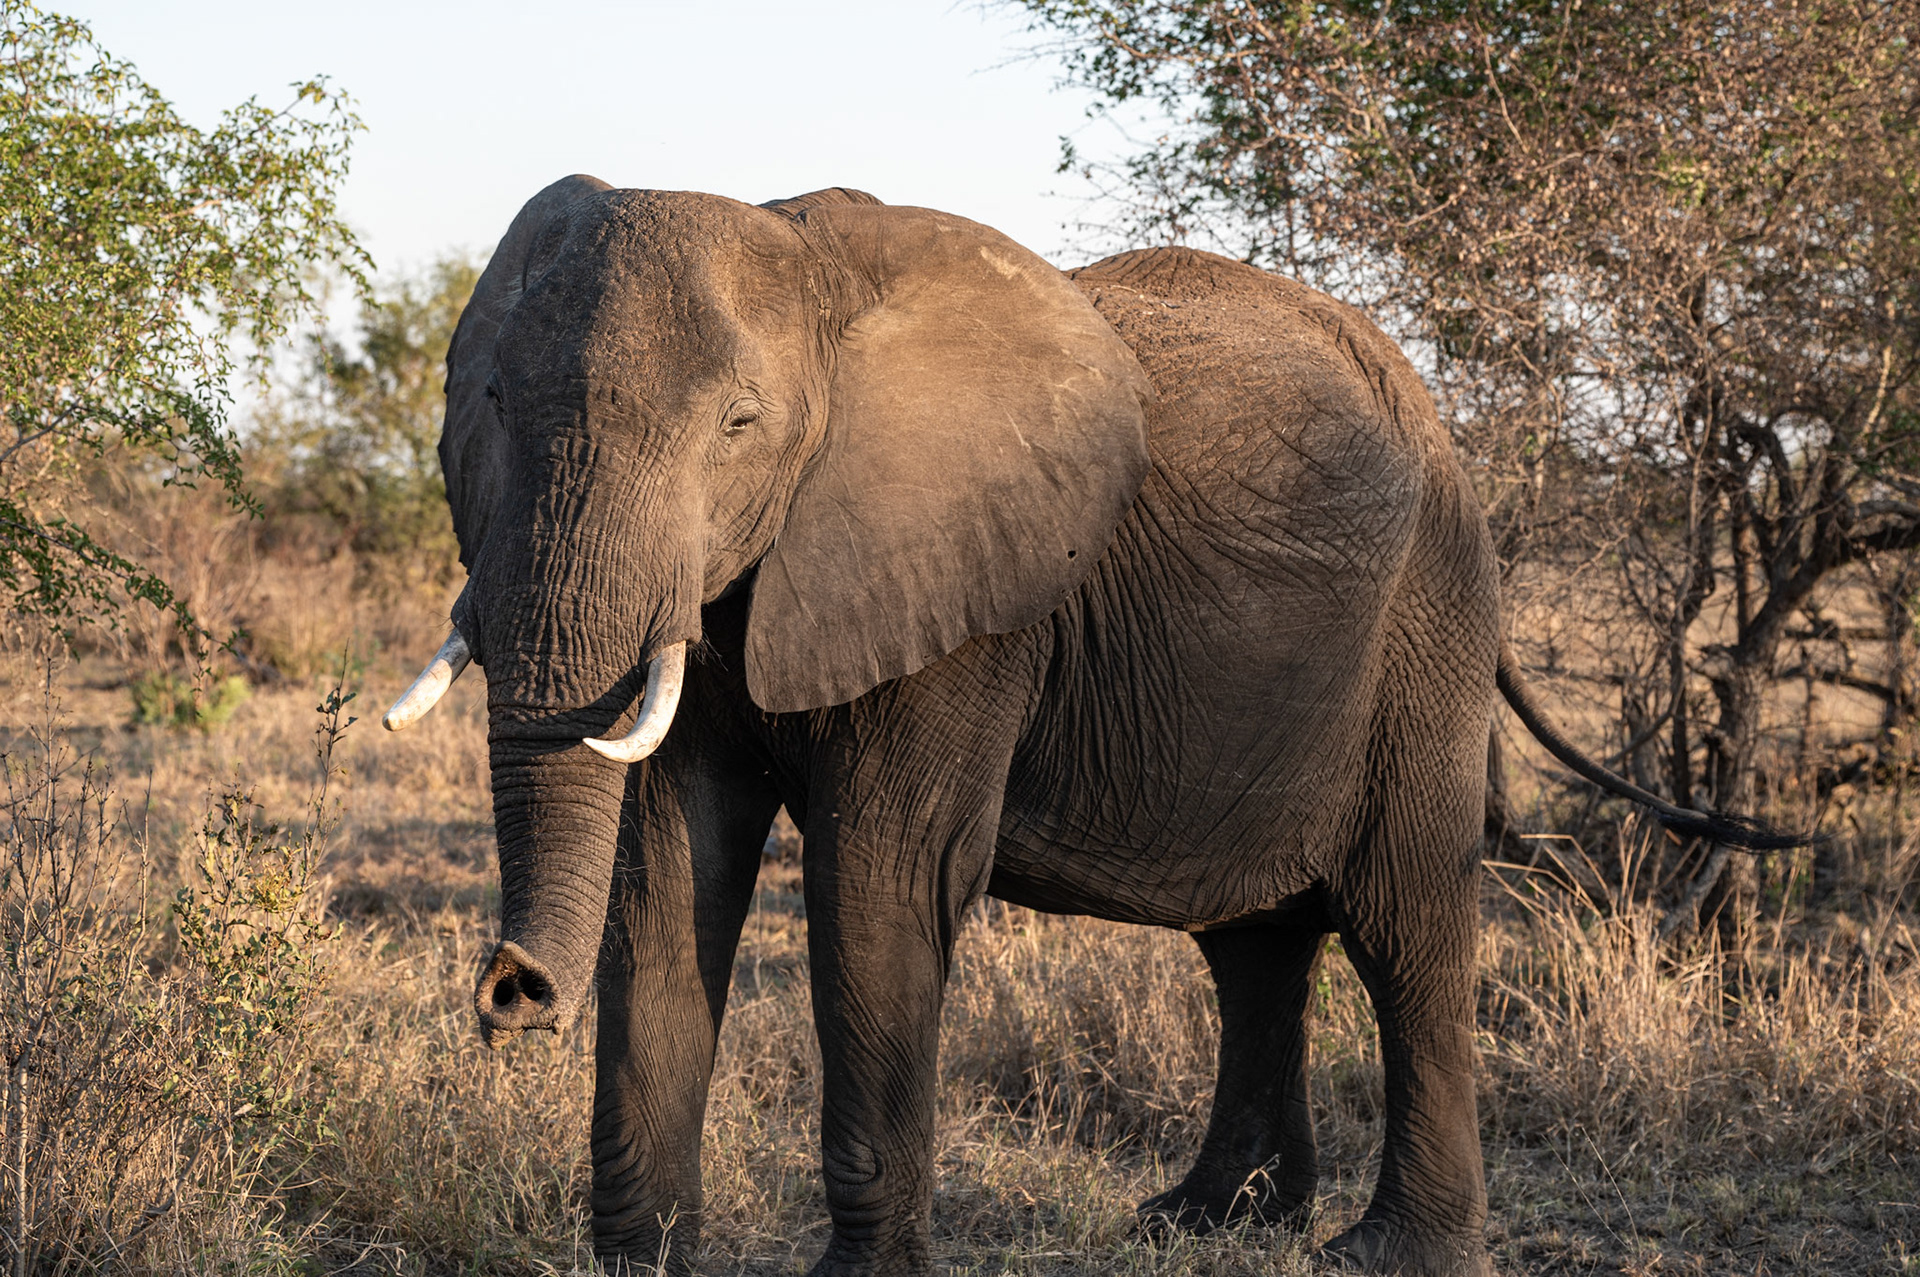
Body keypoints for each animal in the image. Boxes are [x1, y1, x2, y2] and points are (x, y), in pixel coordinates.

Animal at [382, 177, 1790, 1277]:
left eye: (739, 425)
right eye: (490, 398)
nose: (511, 991)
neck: (816, 277)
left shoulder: (966, 594)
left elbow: (881, 878)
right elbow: (675, 866)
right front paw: (646, 1260)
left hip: (1427, 618)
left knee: (1404, 913)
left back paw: (1390, 1248)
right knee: (1255, 938)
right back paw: (1206, 1220)